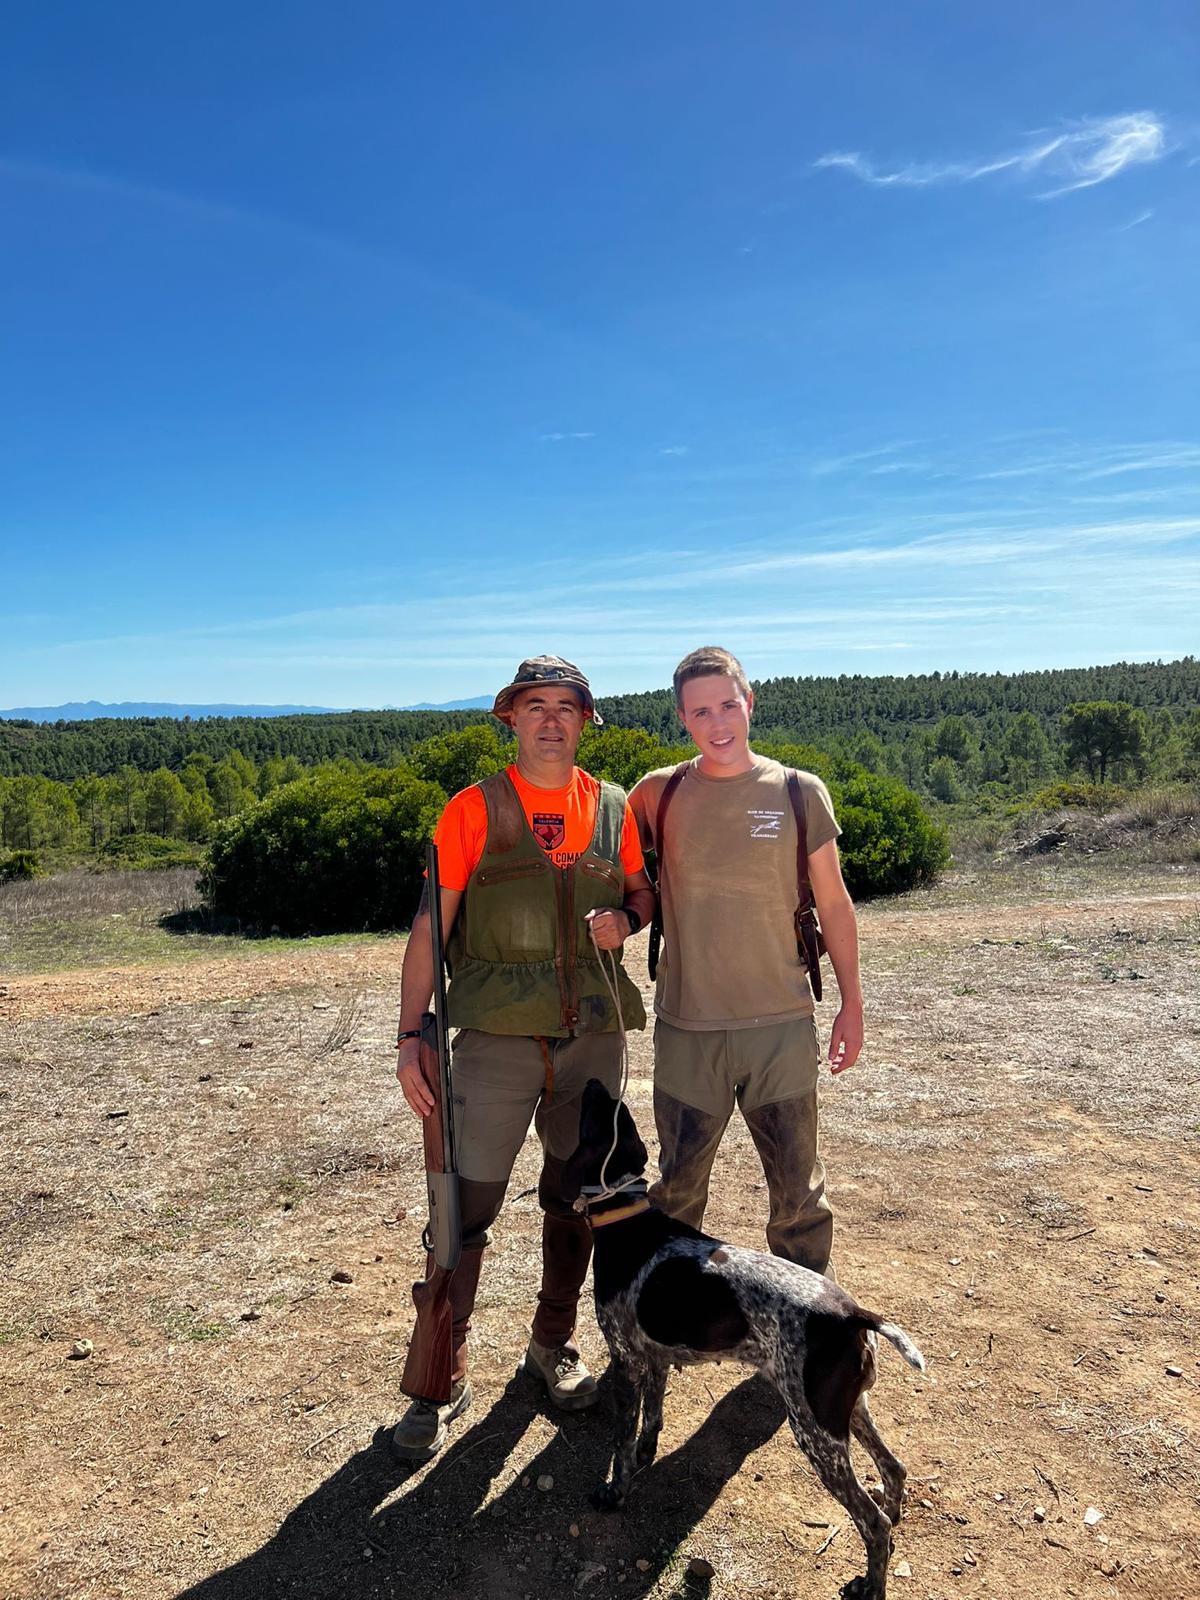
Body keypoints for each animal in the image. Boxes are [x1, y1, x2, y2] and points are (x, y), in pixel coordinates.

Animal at [562, 1080, 927, 1600]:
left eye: (596, 1113)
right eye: (614, 1109)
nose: (595, 1082)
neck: (627, 1221)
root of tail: (852, 1314)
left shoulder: (628, 1360)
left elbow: (621, 1440)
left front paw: (615, 1492)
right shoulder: (655, 1360)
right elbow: (651, 1420)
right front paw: (647, 1454)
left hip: (814, 1431)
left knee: (872, 1523)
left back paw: (870, 1584)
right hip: (846, 1410)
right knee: (894, 1471)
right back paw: (894, 1522)